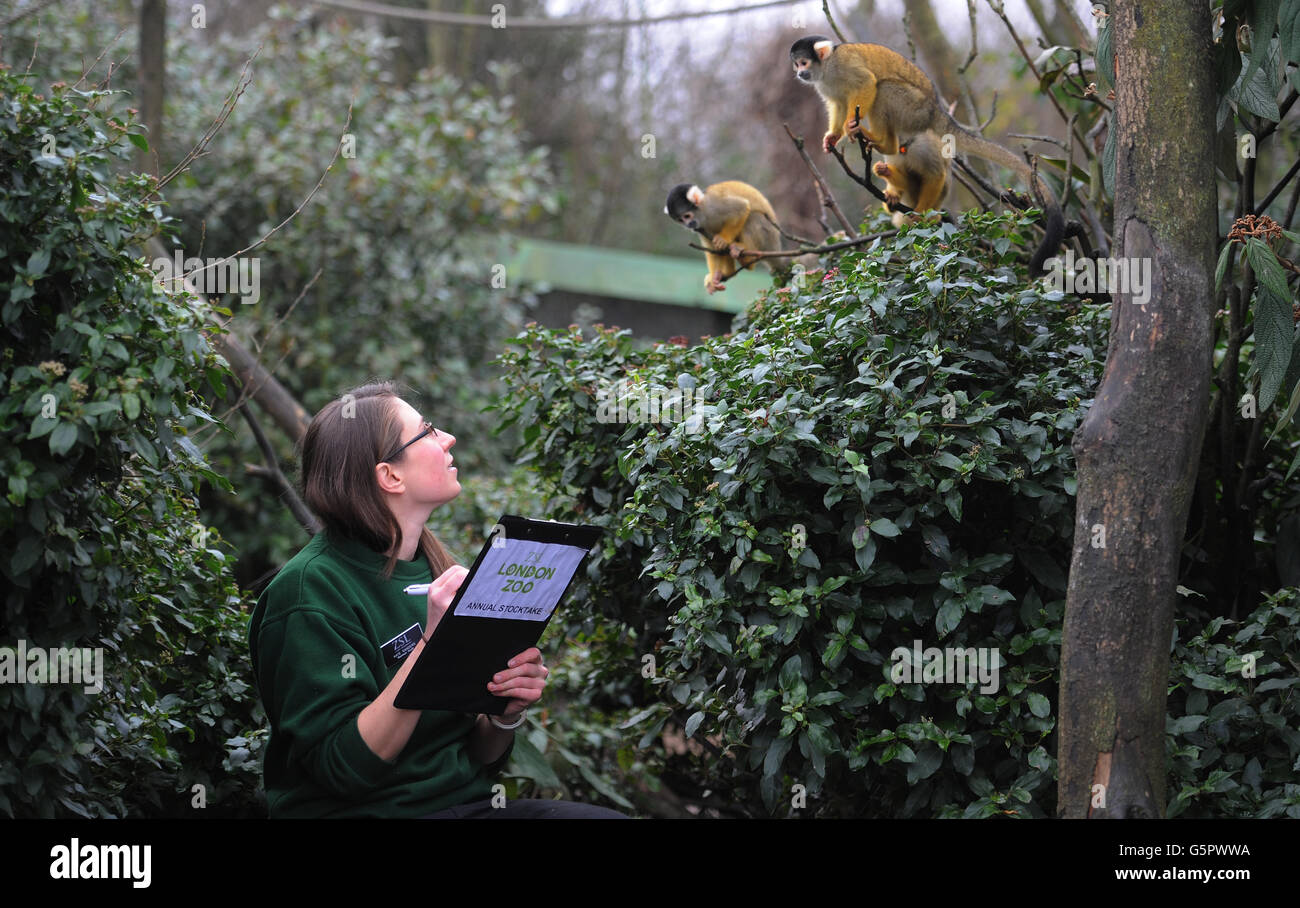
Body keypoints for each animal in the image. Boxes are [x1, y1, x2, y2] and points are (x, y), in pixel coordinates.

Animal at [790, 35, 1064, 275]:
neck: (826, 68)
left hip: (914, 108)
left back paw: (884, 143)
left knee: (883, 88)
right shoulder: (824, 84)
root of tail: (937, 110)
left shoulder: (843, 65)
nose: (799, 73)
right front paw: (833, 136)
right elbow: (837, 104)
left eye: (803, 62)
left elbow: (866, 83)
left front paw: (850, 126)